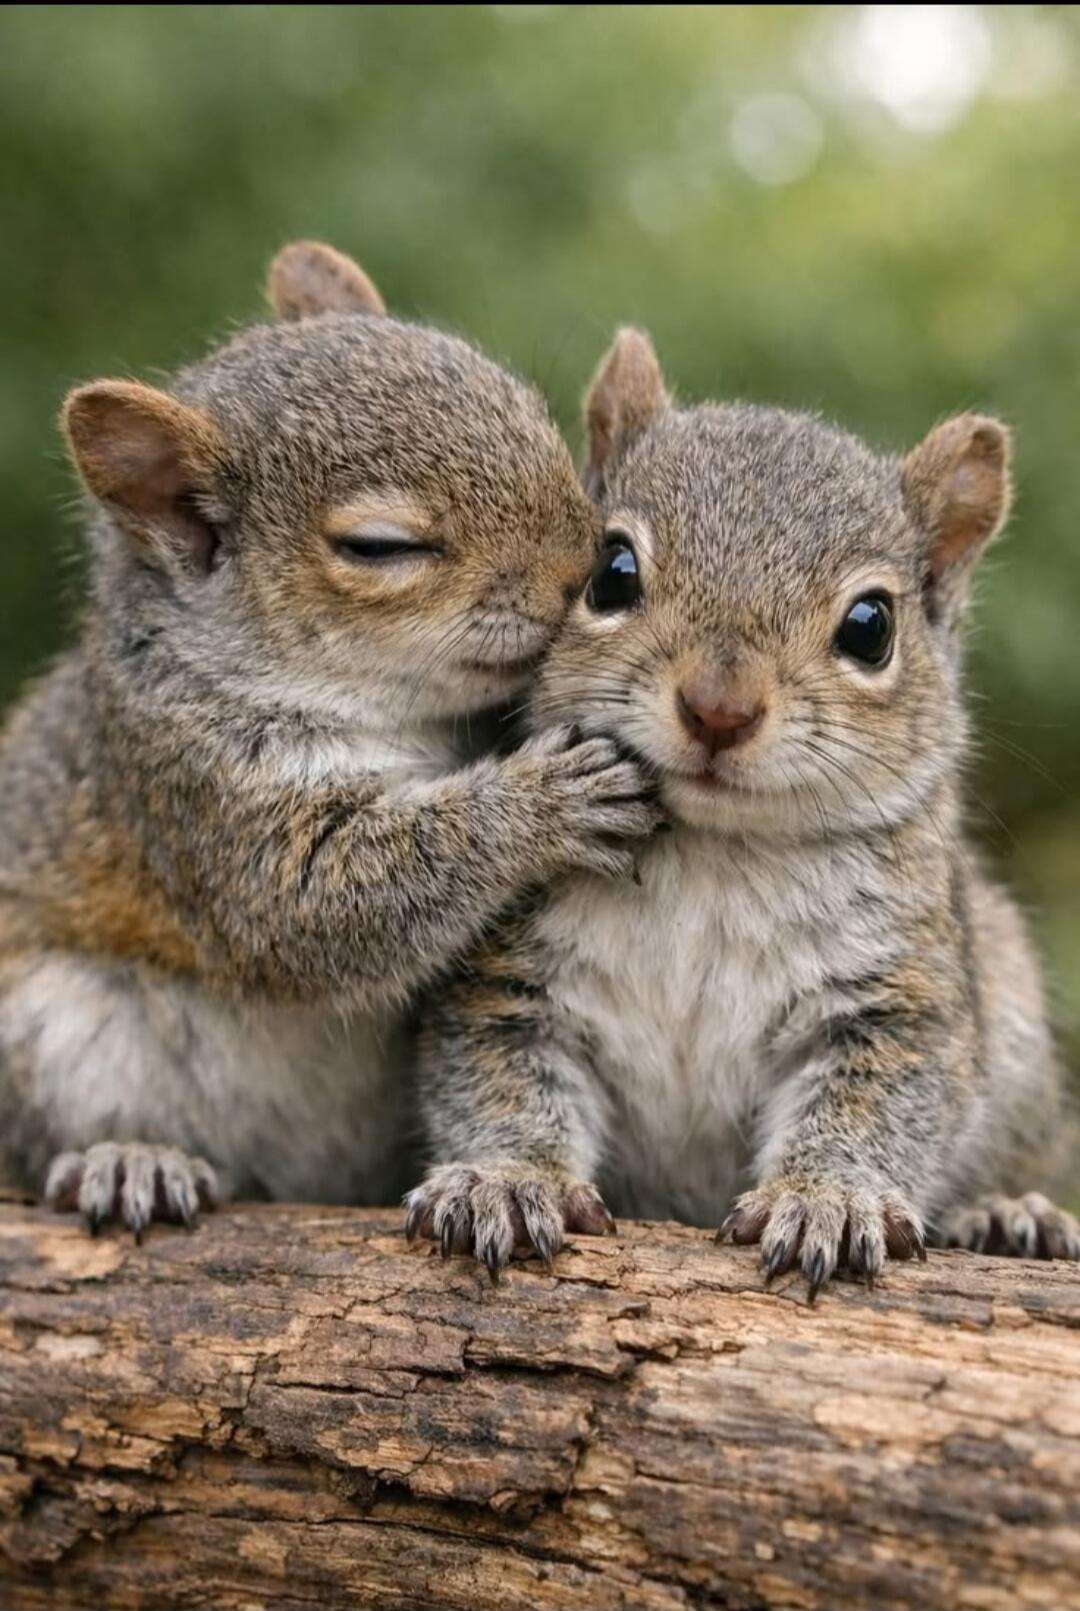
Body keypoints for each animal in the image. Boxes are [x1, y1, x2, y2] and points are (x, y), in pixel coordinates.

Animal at [0, 245, 659, 1236]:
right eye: (381, 547)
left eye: (535, 416)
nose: (589, 571)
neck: (399, 713)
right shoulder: (193, 793)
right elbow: (317, 905)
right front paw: (548, 799)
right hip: (51, 1033)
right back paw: (128, 1159)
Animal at [406, 325, 1079, 1292]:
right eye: (610, 571)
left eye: (872, 626)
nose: (718, 707)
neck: (713, 850)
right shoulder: (507, 979)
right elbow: (498, 1078)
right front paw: (503, 1178)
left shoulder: (897, 998)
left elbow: (880, 1102)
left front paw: (829, 1199)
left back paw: (1008, 1212)